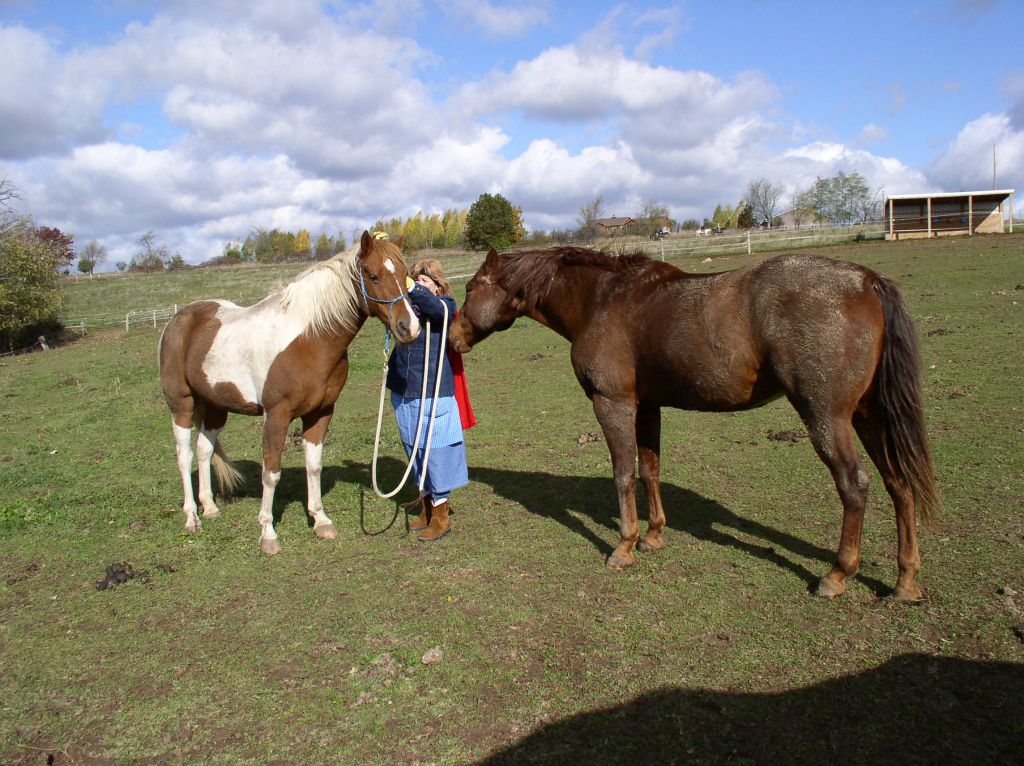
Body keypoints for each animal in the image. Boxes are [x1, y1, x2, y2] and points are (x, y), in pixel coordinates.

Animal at [156, 230, 419, 552]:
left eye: (406, 275)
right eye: (373, 275)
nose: (409, 327)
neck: (310, 339)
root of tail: (179, 319)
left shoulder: (321, 413)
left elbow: (314, 466)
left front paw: (321, 521)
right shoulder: (276, 416)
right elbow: (271, 473)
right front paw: (268, 533)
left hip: (215, 407)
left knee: (204, 450)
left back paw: (210, 507)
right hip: (181, 404)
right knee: (185, 456)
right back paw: (192, 517)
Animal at [452, 248, 937, 602]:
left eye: (471, 288)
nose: (454, 336)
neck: (602, 301)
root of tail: (866, 281)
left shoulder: (613, 404)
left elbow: (623, 474)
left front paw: (624, 547)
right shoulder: (647, 407)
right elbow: (650, 470)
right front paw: (652, 536)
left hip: (826, 417)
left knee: (854, 485)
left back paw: (836, 575)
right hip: (868, 415)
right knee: (899, 484)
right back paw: (905, 581)